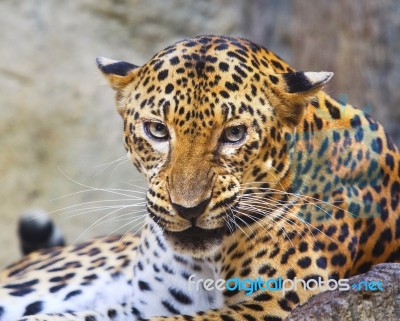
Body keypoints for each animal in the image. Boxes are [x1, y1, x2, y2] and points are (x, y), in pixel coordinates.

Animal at [0, 35, 400, 320]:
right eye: (158, 130)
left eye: (234, 134)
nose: (188, 209)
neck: (209, 260)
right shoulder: (145, 303)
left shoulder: (278, 300)